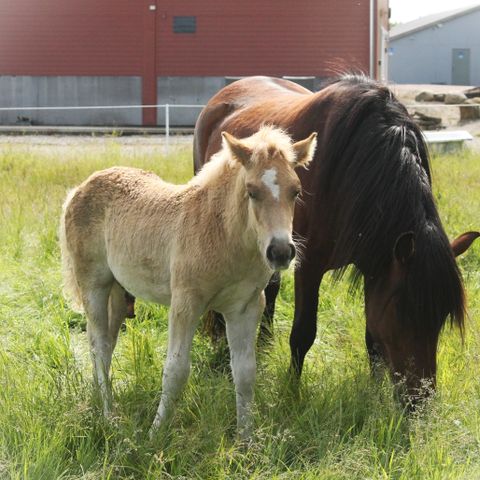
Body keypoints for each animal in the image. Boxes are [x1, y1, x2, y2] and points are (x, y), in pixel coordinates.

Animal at [59, 125, 316, 436]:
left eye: (296, 191)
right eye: (252, 191)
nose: (280, 252)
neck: (222, 235)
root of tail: (78, 189)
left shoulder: (245, 307)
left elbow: (245, 372)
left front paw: (246, 439)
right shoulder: (185, 302)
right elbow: (176, 370)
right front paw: (155, 434)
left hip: (119, 292)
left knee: (105, 343)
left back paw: (100, 401)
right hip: (93, 283)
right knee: (99, 344)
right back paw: (109, 415)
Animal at [193, 75, 478, 404]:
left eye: (442, 316)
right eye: (403, 312)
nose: (419, 401)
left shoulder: (376, 264)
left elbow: (372, 336)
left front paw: (374, 389)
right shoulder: (308, 266)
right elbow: (303, 334)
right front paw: (292, 391)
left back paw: (263, 342)